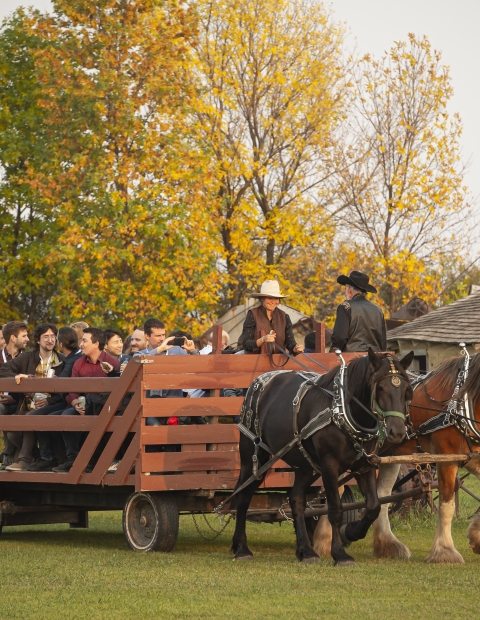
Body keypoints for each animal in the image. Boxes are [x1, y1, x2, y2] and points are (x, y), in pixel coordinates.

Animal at [231, 348, 414, 568]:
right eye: (380, 388)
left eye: (406, 389)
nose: (398, 431)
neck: (342, 410)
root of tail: (258, 381)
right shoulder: (329, 466)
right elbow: (335, 509)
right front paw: (340, 554)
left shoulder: (365, 466)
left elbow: (373, 506)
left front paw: (352, 531)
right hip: (255, 456)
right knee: (243, 495)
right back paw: (241, 548)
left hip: (304, 465)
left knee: (296, 499)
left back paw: (306, 551)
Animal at [314, 354, 480, 560]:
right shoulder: (447, 458)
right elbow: (446, 505)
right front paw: (445, 551)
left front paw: (476, 538)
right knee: (335, 490)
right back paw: (324, 541)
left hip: (389, 456)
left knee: (381, 496)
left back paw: (387, 543)